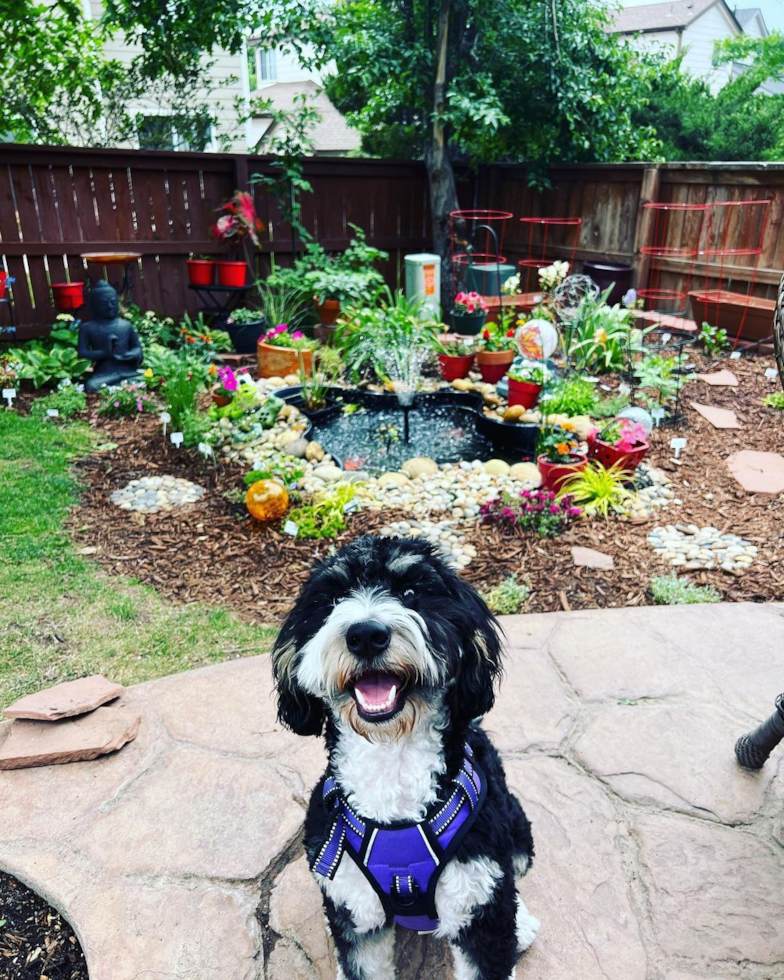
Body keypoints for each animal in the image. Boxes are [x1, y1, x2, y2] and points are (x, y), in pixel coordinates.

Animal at [272, 536, 540, 980]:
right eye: (334, 599)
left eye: (411, 592)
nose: (365, 634)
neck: (392, 766)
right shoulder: (354, 909)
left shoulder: (479, 906)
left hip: (514, 837)